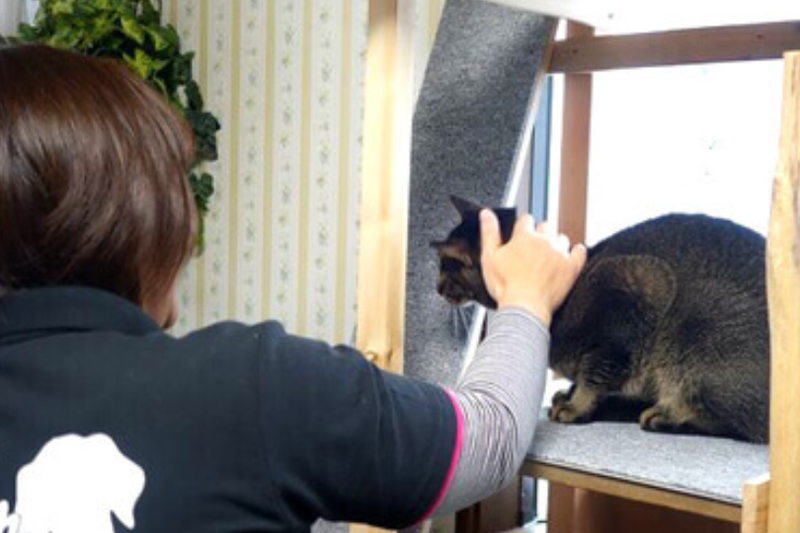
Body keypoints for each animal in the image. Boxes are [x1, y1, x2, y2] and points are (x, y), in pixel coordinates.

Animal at [432, 196, 770, 443]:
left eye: (446, 266)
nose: (437, 287)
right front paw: (569, 394)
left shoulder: (633, 289)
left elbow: (595, 375)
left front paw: (577, 404)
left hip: (702, 331)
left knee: (744, 424)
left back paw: (667, 416)